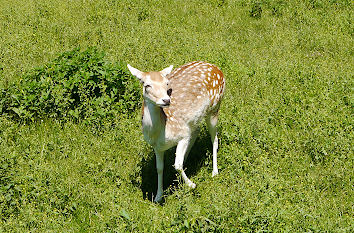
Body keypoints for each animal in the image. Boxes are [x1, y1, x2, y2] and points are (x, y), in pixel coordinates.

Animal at [127, 61, 225, 202]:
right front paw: (158, 196)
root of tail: (216, 68)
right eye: (147, 85)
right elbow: (159, 168)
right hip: (194, 120)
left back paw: (214, 172)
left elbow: (177, 165)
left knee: (214, 138)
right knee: (196, 131)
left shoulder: (182, 134)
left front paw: (191, 184)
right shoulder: (157, 147)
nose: (166, 100)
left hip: (214, 108)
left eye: (167, 83)